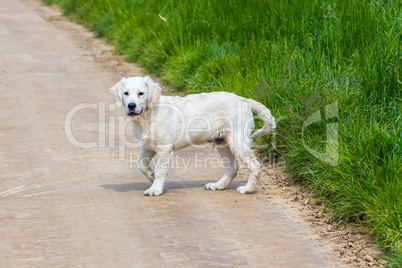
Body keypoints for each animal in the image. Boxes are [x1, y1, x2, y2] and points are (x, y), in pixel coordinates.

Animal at [110, 76, 276, 196]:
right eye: (125, 93)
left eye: (141, 93)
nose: (131, 106)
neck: (148, 115)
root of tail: (244, 99)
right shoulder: (148, 145)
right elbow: (141, 165)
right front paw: (151, 175)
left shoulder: (164, 148)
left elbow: (161, 170)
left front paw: (155, 188)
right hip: (221, 141)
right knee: (232, 167)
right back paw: (218, 185)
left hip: (237, 140)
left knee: (254, 165)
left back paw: (248, 189)